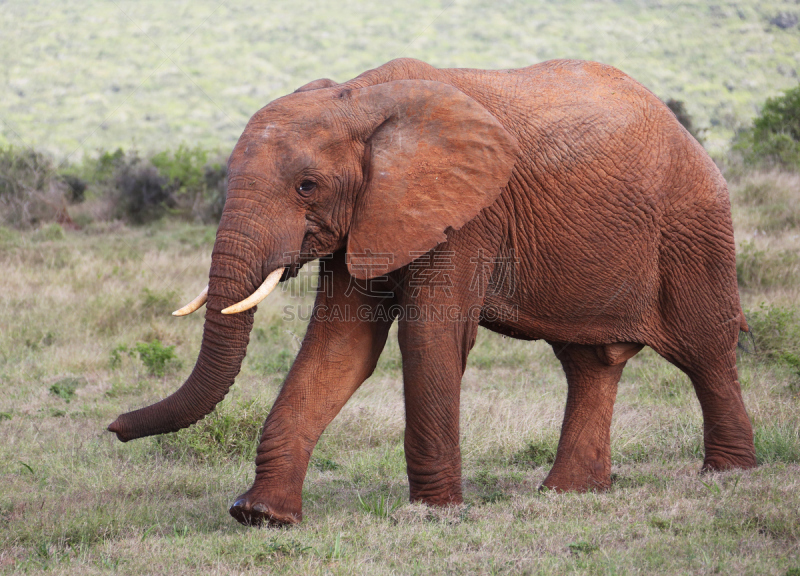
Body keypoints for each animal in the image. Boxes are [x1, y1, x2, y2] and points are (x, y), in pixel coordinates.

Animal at [108, 57, 756, 528]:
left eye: (306, 186)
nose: (114, 428)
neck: (358, 96)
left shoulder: (465, 215)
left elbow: (430, 337)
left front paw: (434, 513)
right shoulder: (370, 217)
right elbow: (340, 348)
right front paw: (261, 517)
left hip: (693, 226)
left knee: (705, 349)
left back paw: (728, 475)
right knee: (589, 363)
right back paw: (568, 496)